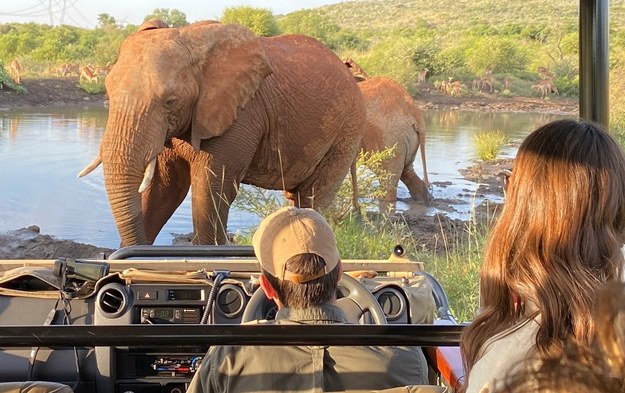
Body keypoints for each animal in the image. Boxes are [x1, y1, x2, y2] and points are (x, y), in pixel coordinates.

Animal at [79, 19, 366, 245]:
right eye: (108, 92)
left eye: (170, 101)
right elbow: (165, 188)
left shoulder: (241, 115)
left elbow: (210, 188)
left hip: (347, 130)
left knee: (313, 197)